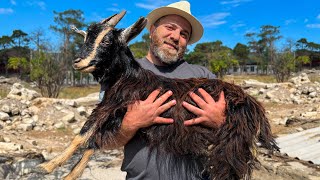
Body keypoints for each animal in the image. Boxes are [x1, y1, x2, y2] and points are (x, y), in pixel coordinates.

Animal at [37, 11, 278, 180]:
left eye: (107, 40)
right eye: (86, 37)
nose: (78, 62)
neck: (126, 77)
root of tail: (252, 104)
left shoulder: (111, 106)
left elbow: (83, 135)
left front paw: (47, 166)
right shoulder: (120, 115)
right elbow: (94, 141)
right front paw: (68, 174)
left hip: (231, 142)